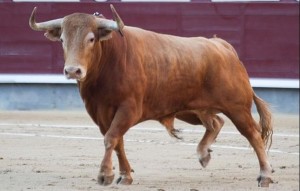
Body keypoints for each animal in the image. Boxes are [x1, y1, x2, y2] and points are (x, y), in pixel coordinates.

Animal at [28, 5, 274, 187]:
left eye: (91, 39)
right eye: (62, 40)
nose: (73, 71)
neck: (109, 61)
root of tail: (222, 46)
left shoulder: (128, 109)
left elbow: (111, 138)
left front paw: (105, 175)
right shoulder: (99, 113)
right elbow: (117, 142)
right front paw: (125, 175)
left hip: (237, 107)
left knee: (252, 134)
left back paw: (265, 175)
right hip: (192, 110)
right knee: (216, 122)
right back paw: (203, 154)